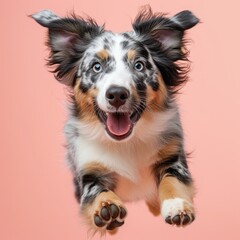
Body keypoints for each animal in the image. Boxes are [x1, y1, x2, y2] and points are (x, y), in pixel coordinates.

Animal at [31, 7, 199, 234]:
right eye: (96, 67)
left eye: (139, 65)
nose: (117, 94)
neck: (126, 143)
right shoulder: (88, 170)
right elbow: (95, 191)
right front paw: (107, 207)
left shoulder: (173, 156)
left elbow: (172, 179)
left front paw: (177, 205)